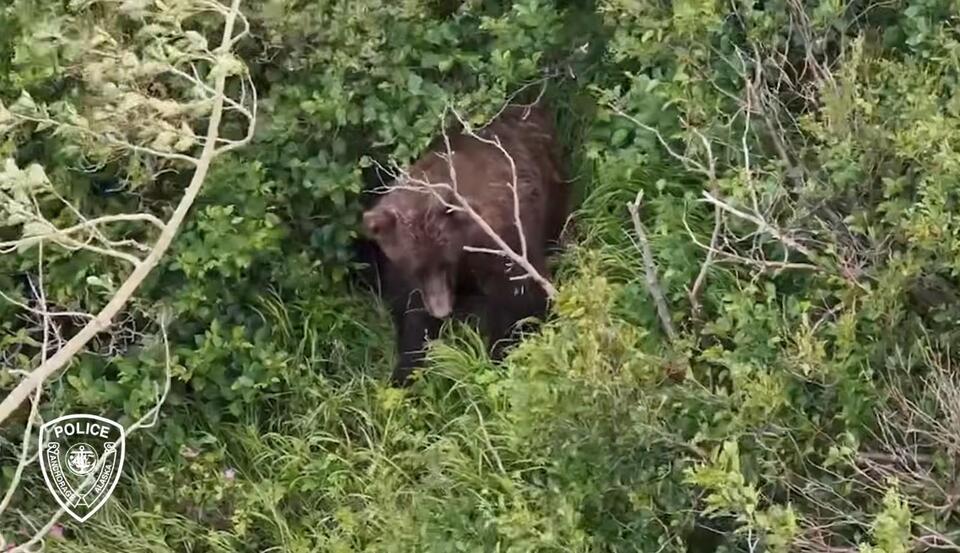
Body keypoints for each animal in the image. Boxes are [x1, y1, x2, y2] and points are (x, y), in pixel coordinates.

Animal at [361, 103, 569, 386]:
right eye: (416, 268)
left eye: (445, 263)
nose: (441, 310)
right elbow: (411, 314)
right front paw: (405, 371)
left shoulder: (502, 241)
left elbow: (521, 298)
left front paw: (501, 353)